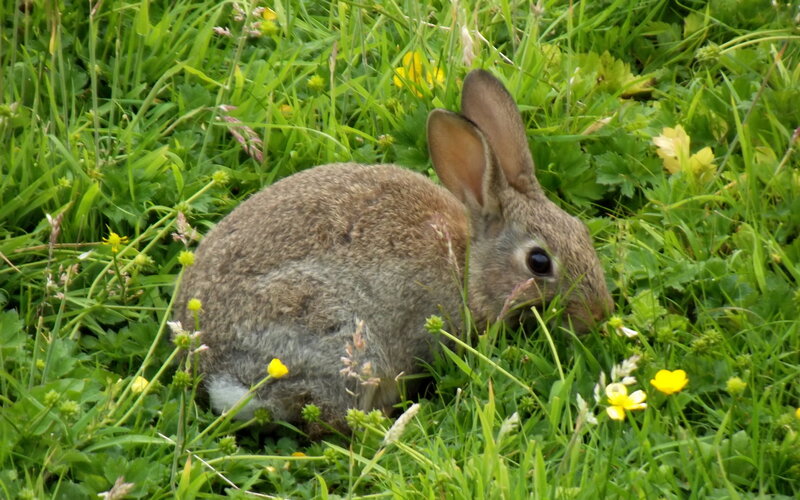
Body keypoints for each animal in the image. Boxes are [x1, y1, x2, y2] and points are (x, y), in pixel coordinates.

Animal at [176, 69, 614, 433]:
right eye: (539, 262)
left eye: (581, 231)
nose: (600, 313)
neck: (467, 264)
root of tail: (211, 371)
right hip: (336, 337)